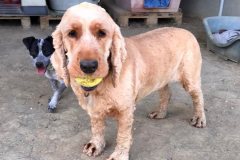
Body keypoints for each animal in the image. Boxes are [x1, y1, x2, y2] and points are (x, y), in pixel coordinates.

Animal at [50, 1, 206, 159]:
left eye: (102, 33)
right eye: (71, 33)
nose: (88, 66)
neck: (101, 86)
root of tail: (187, 31)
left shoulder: (126, 110)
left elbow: (123, 135)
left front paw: (119, 155)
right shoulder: (94, 109)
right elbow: (97, 127)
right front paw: (96, 145)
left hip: (190, 79)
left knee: (198, 96)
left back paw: (199, 118)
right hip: (161, 77)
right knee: (166, 94)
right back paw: (161, 113)